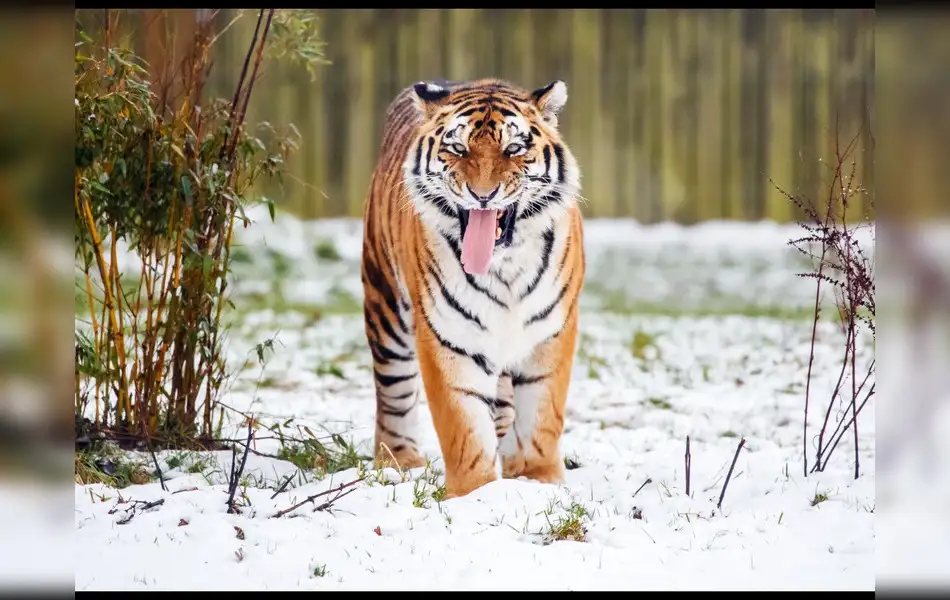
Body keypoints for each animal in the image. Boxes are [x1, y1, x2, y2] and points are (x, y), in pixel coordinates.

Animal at [360, 78, 585, 499]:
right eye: (458, 148)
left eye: (513, 148)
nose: (483, 195)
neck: (504, 266)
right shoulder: (448, 335)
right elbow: (463, 424)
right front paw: (475, 494)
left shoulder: (552, 331)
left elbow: (542, 415)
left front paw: (539, 480)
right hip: (386, 306)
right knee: (393, 391)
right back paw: (399, 461)